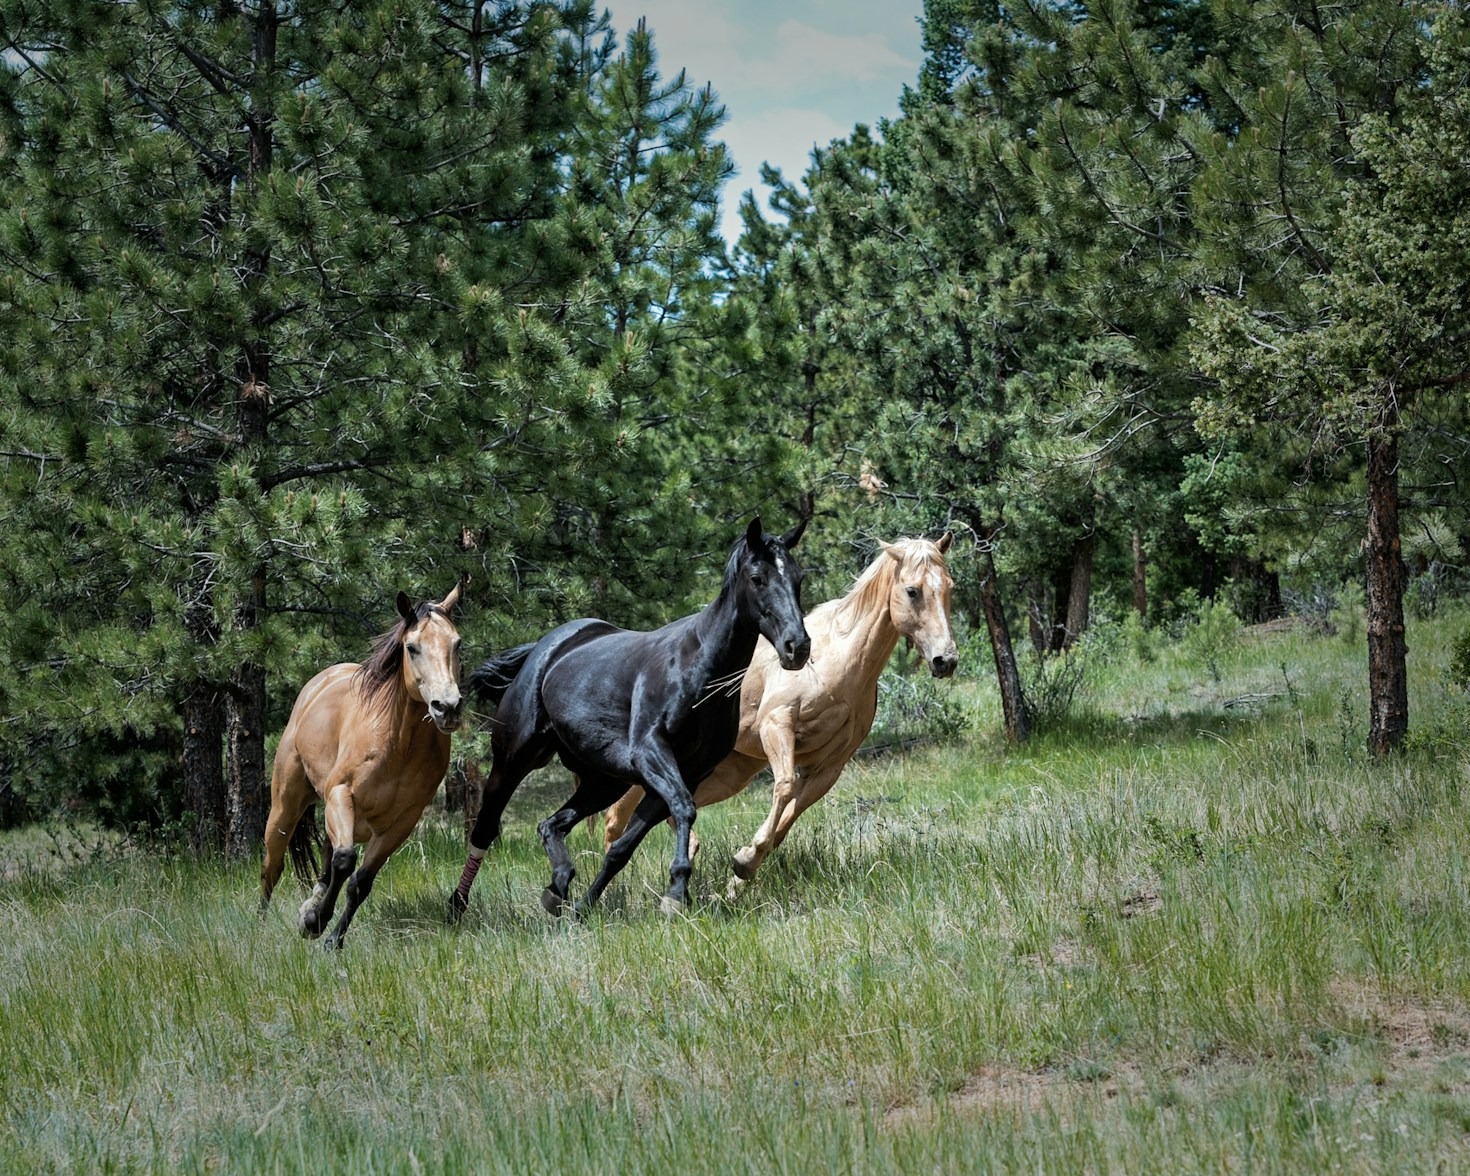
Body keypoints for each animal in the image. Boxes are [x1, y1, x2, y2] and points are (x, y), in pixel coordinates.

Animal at [259, 583, 464, 949]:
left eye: (457, 644)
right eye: (412, 647)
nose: (448, 707)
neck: (398, 743)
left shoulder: (401, 823)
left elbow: (360, 881)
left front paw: (330, 937)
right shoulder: (341, 795)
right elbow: (344, 862)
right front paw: (315, 922)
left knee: (327, 859)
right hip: (286, 807)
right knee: (273, 866)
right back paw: (260, 928)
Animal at [448, 518, 810, 920]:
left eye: (798, 578)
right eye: (758, 577)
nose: (797, 646)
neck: (698, 670)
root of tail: (544, 649)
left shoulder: (681, 773)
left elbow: (622, 848)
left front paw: (585, 906)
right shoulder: (651, 754)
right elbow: (684, 808)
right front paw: (676, 892)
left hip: (604, 781)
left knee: (551, 825)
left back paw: (558, 887)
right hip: (513, 760)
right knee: (485, 827)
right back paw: (458, 905)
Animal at [602, 533, 956, 889]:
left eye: (949, 587)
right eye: (912, 590)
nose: (946, 660)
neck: (838, 660)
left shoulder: (829, 766)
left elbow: (787, 820)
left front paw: (740, 875)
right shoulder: (777, 726)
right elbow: (784, 786)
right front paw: (744, 862)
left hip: (729, 772)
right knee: (617, 816)